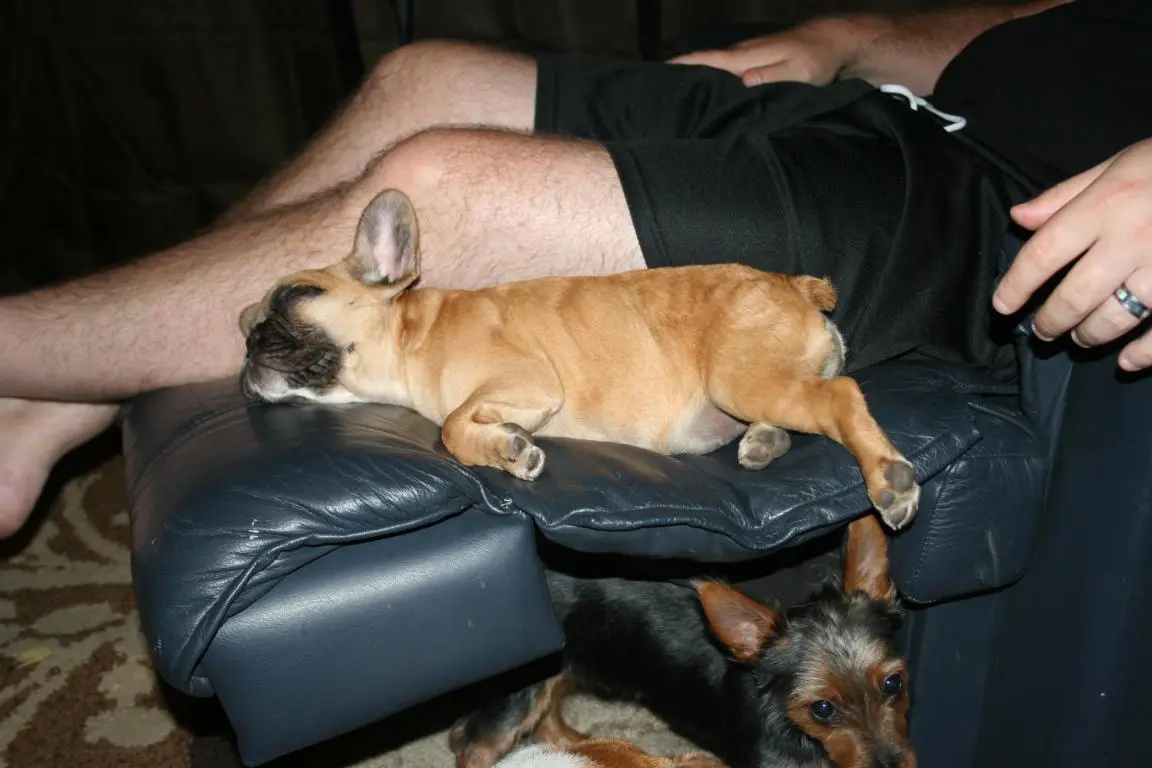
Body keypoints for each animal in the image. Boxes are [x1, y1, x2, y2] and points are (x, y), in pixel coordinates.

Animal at [238, 189, 919, 529]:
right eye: (245, 323)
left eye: (295, 296)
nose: (247, 339)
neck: (413, 331)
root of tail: (795, 284)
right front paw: (503, 445)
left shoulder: (525, 380)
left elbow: (452, 428)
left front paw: (506, 448)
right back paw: (765, 442)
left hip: (740, 377)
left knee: (841, 397)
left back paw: (887, 480)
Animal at [450, 515, 915, 768]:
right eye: (822, 709)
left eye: (894, 684)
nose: (893, 766)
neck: (791, 728)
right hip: (523, 684)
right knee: (478, 744)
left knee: (547, 712)